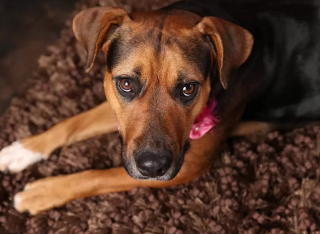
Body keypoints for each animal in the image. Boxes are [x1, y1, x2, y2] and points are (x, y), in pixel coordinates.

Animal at [0, 0, 288, 215]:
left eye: (188, 88)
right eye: (126, 83)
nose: (152, 166)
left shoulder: (190, 165)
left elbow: (98, 176)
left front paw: (44, 191)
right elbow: (73, 122)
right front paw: (25, 149)